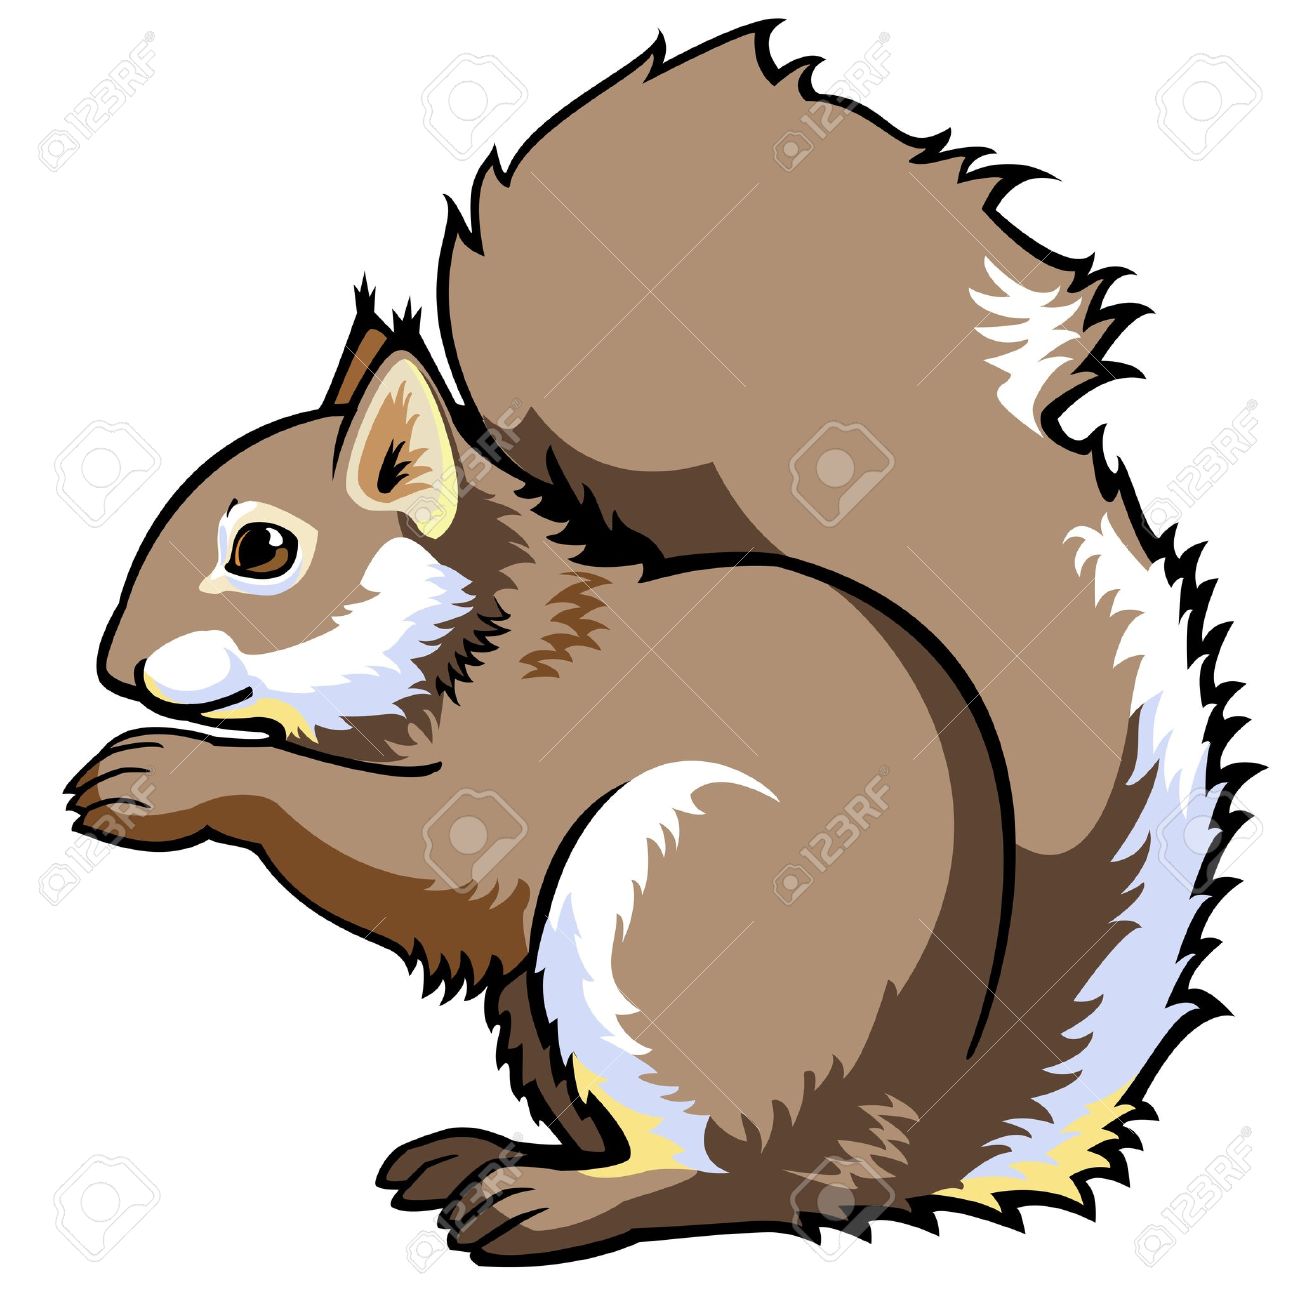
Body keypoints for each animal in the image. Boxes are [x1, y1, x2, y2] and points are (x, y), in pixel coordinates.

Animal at [67, 23, 1251, 1265]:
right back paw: (479, 1155)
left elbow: (420, 856)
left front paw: (170, 777)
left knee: (722, 1178)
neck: (478, 635)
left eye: (262, 548)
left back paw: (548, 1203)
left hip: (670, 903)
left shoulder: (521, 766)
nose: (113, 664)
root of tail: (888, 1145)